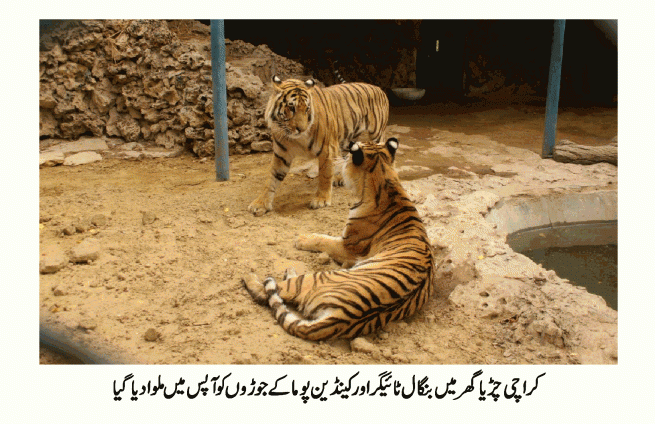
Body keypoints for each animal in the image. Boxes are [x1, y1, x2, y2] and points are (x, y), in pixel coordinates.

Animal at [242, 139, 436, 342]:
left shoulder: (348, 246)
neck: (386, 180)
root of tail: (342, 318)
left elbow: (323, 240)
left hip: (318, 278)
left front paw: (301, 238)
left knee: (268, 291)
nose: (342, 155)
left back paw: (251, 275)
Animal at [247, 73, 390, 215]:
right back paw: (340, 178)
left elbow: (325, 175)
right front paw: (261, 203)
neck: (295, 138)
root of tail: (379, 89)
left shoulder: (327, 149)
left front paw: (321, 200)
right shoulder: (281, 155)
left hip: (376, 135)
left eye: (307, 109)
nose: (302, 129)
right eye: (291, 107)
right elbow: (271, 179)